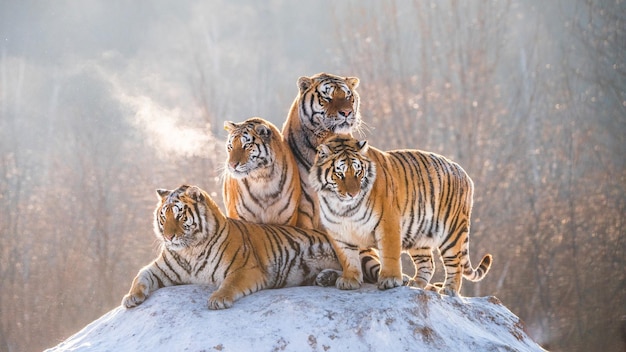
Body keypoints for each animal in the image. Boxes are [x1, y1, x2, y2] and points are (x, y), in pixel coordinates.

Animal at [119, 184, 364, 310]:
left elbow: (230, 283)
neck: (190, 250)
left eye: (179, 215)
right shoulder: (159, 268)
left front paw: (218, 299)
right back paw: (325, 278)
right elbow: (139, 276)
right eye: (164, 216)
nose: (168, 237)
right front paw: (131, 297)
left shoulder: (245, 268)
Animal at [308, 135, 492, 296]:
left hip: (452, 232)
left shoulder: (387, 221)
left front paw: (390, 280)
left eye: (358, 172)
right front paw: (349, 280)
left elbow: (389, 254)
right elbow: (347, 257)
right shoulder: (338, 230)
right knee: (428, 264)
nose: (353, 194)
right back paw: (415, 284)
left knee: (455, 264)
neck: (343, 208)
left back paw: (449, 289)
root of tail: (464, 172)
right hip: (420, 235)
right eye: (340, 173)